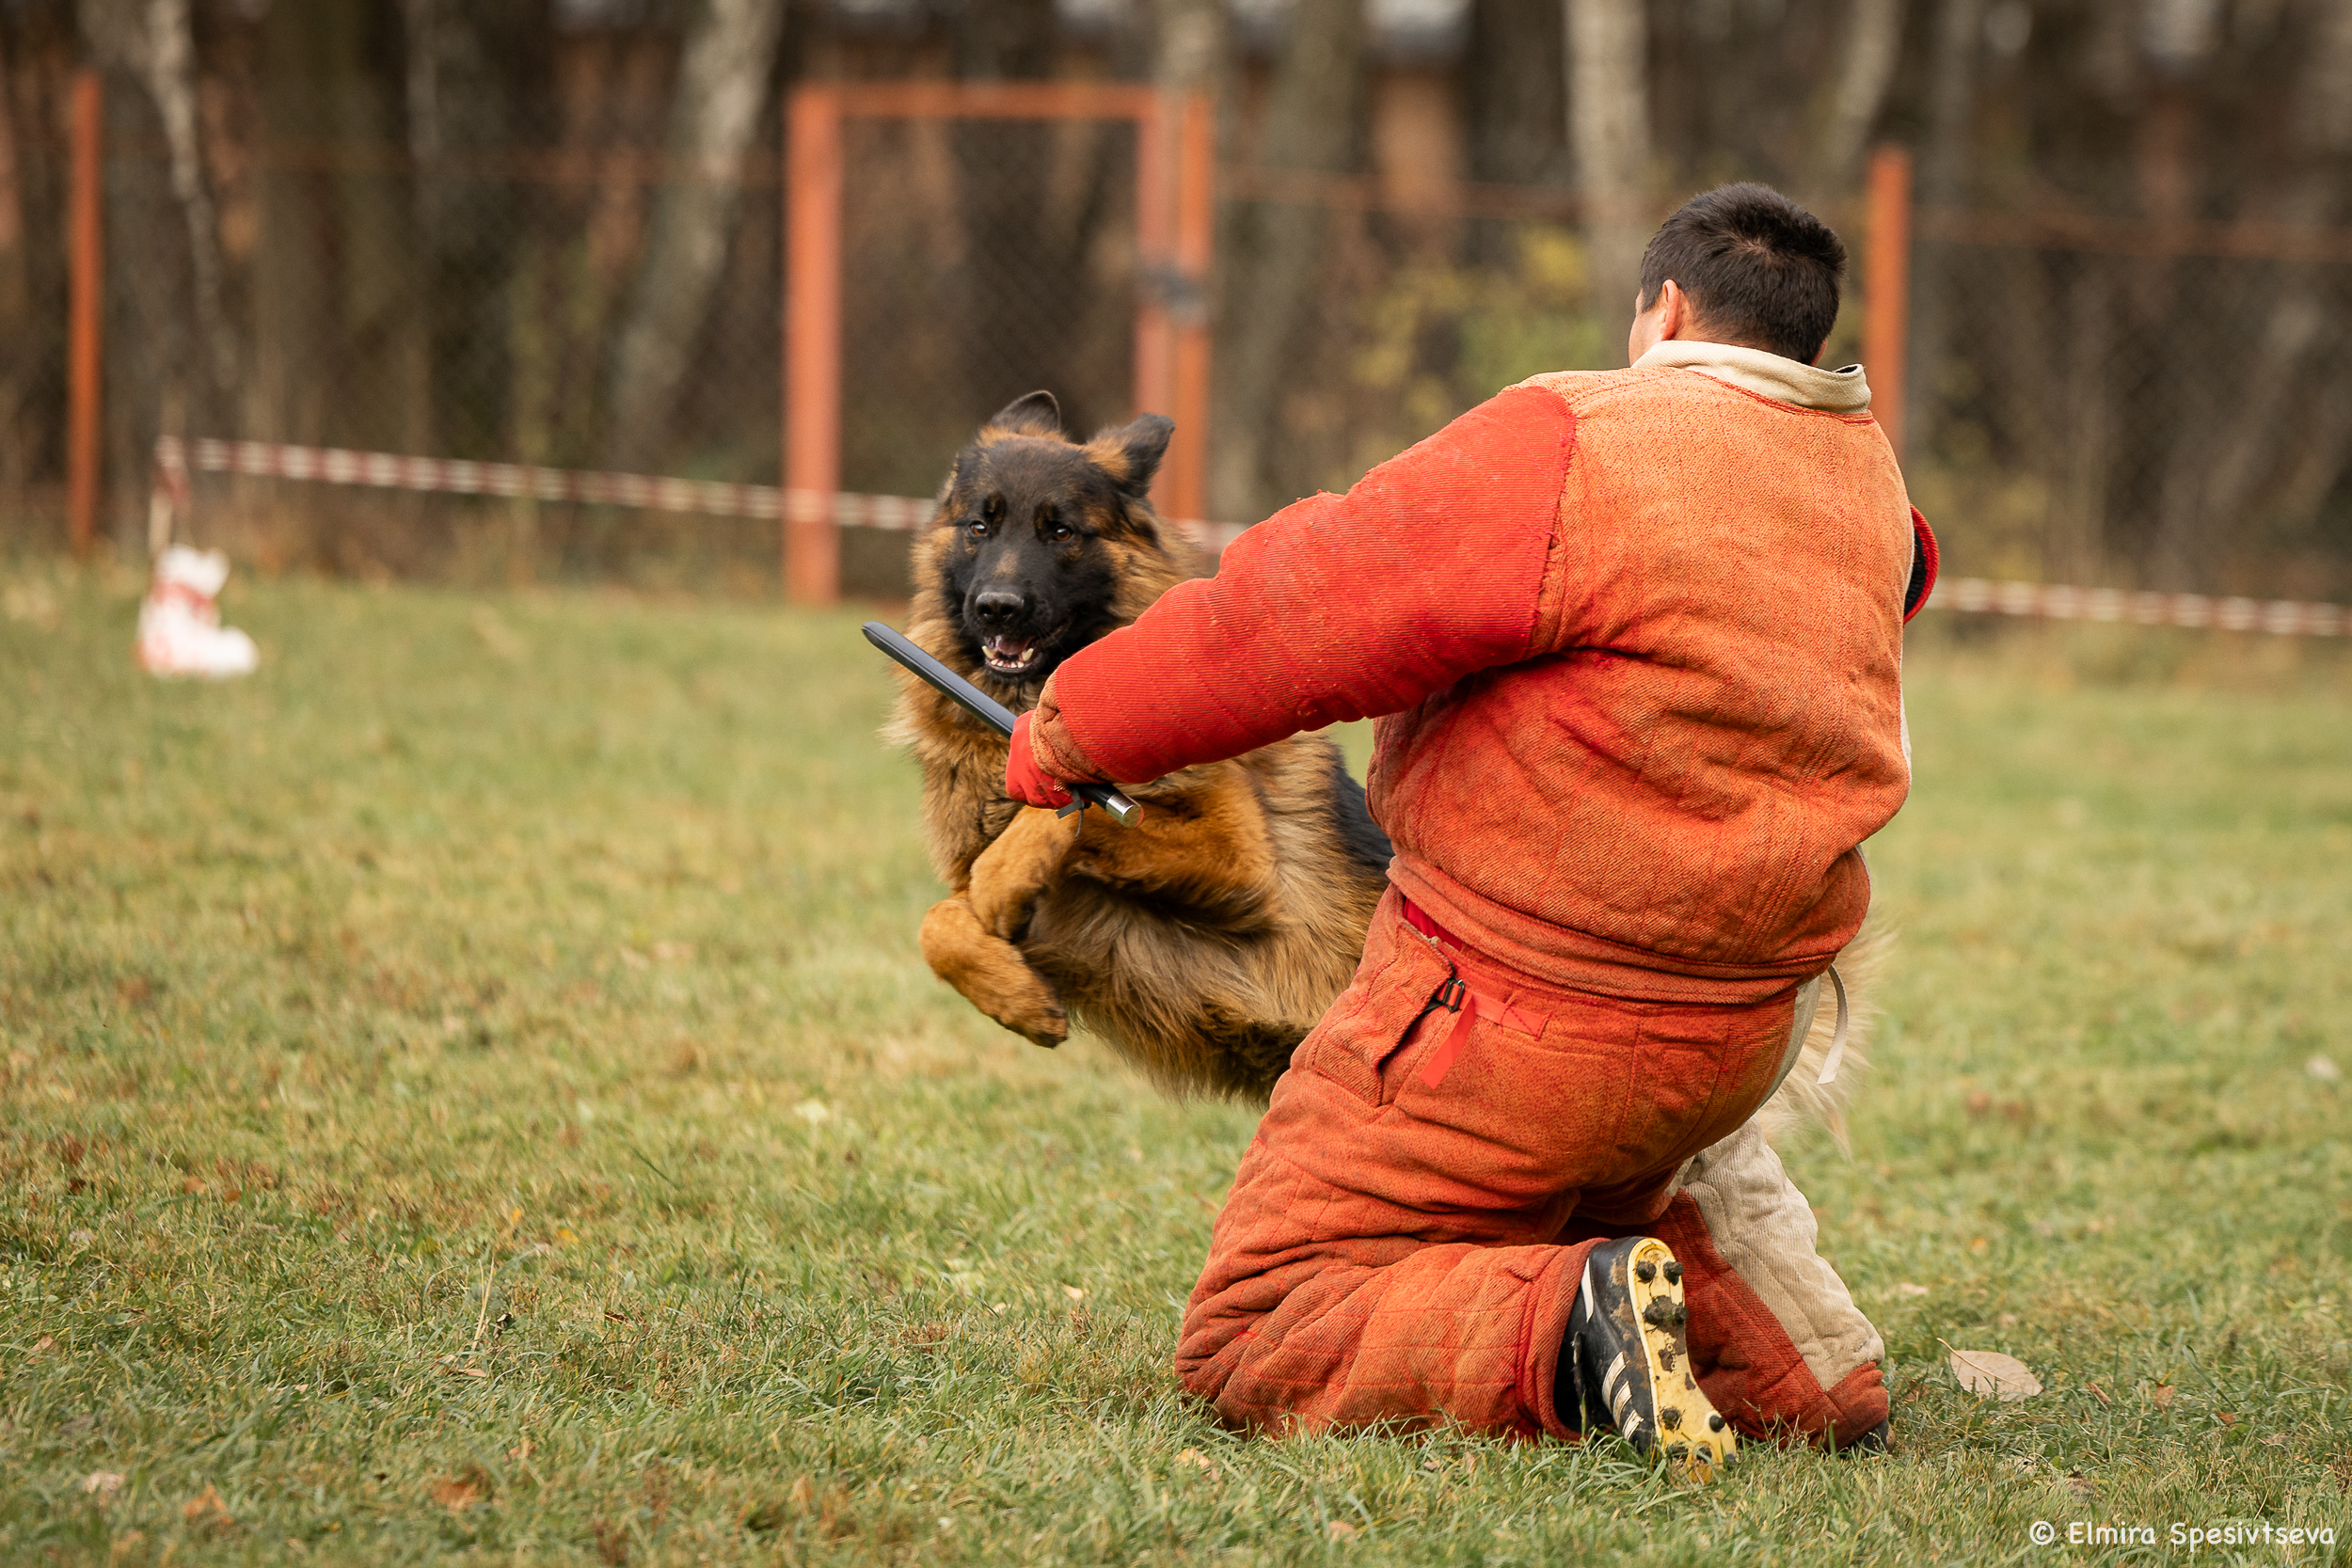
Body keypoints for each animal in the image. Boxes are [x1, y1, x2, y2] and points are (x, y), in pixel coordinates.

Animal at [884, 392, 1872, 1128]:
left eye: (1062, 533)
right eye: (981, 526)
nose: (998, 610)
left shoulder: (1238, 864)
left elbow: (1069, 813)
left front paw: (1012, 872)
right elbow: (937, 923)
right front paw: (1011, 990)